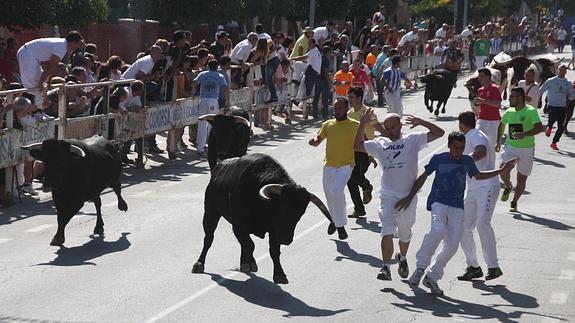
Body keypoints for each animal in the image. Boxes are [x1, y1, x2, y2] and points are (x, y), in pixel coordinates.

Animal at [191, 154, 332, 284]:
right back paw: (199, 264)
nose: (286, 240)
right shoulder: (238, 224)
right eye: (282, 208)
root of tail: (218, 168)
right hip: (211, 212)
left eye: (300, 214)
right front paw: (251, 263)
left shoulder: (274, 231)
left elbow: (273, 251)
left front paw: (279, 275)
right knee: (209, 238)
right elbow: (250, 244)